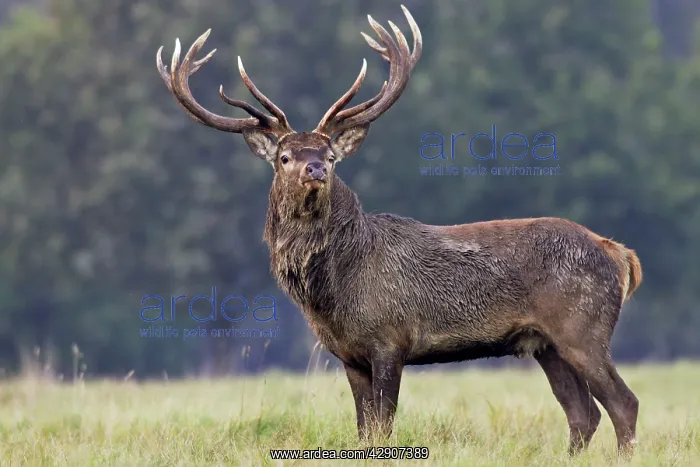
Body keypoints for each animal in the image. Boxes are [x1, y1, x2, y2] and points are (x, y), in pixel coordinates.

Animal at [156, 5, 643, 456]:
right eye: (284, 157)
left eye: (330, 156)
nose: (316, 169)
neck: (332, 294)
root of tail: (619, 253)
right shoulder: (348, 355)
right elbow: (363, 428)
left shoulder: (390, 338)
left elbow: (383, 427)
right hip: (545, 344)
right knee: (583, 413)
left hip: (583, 327)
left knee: (623, 403)